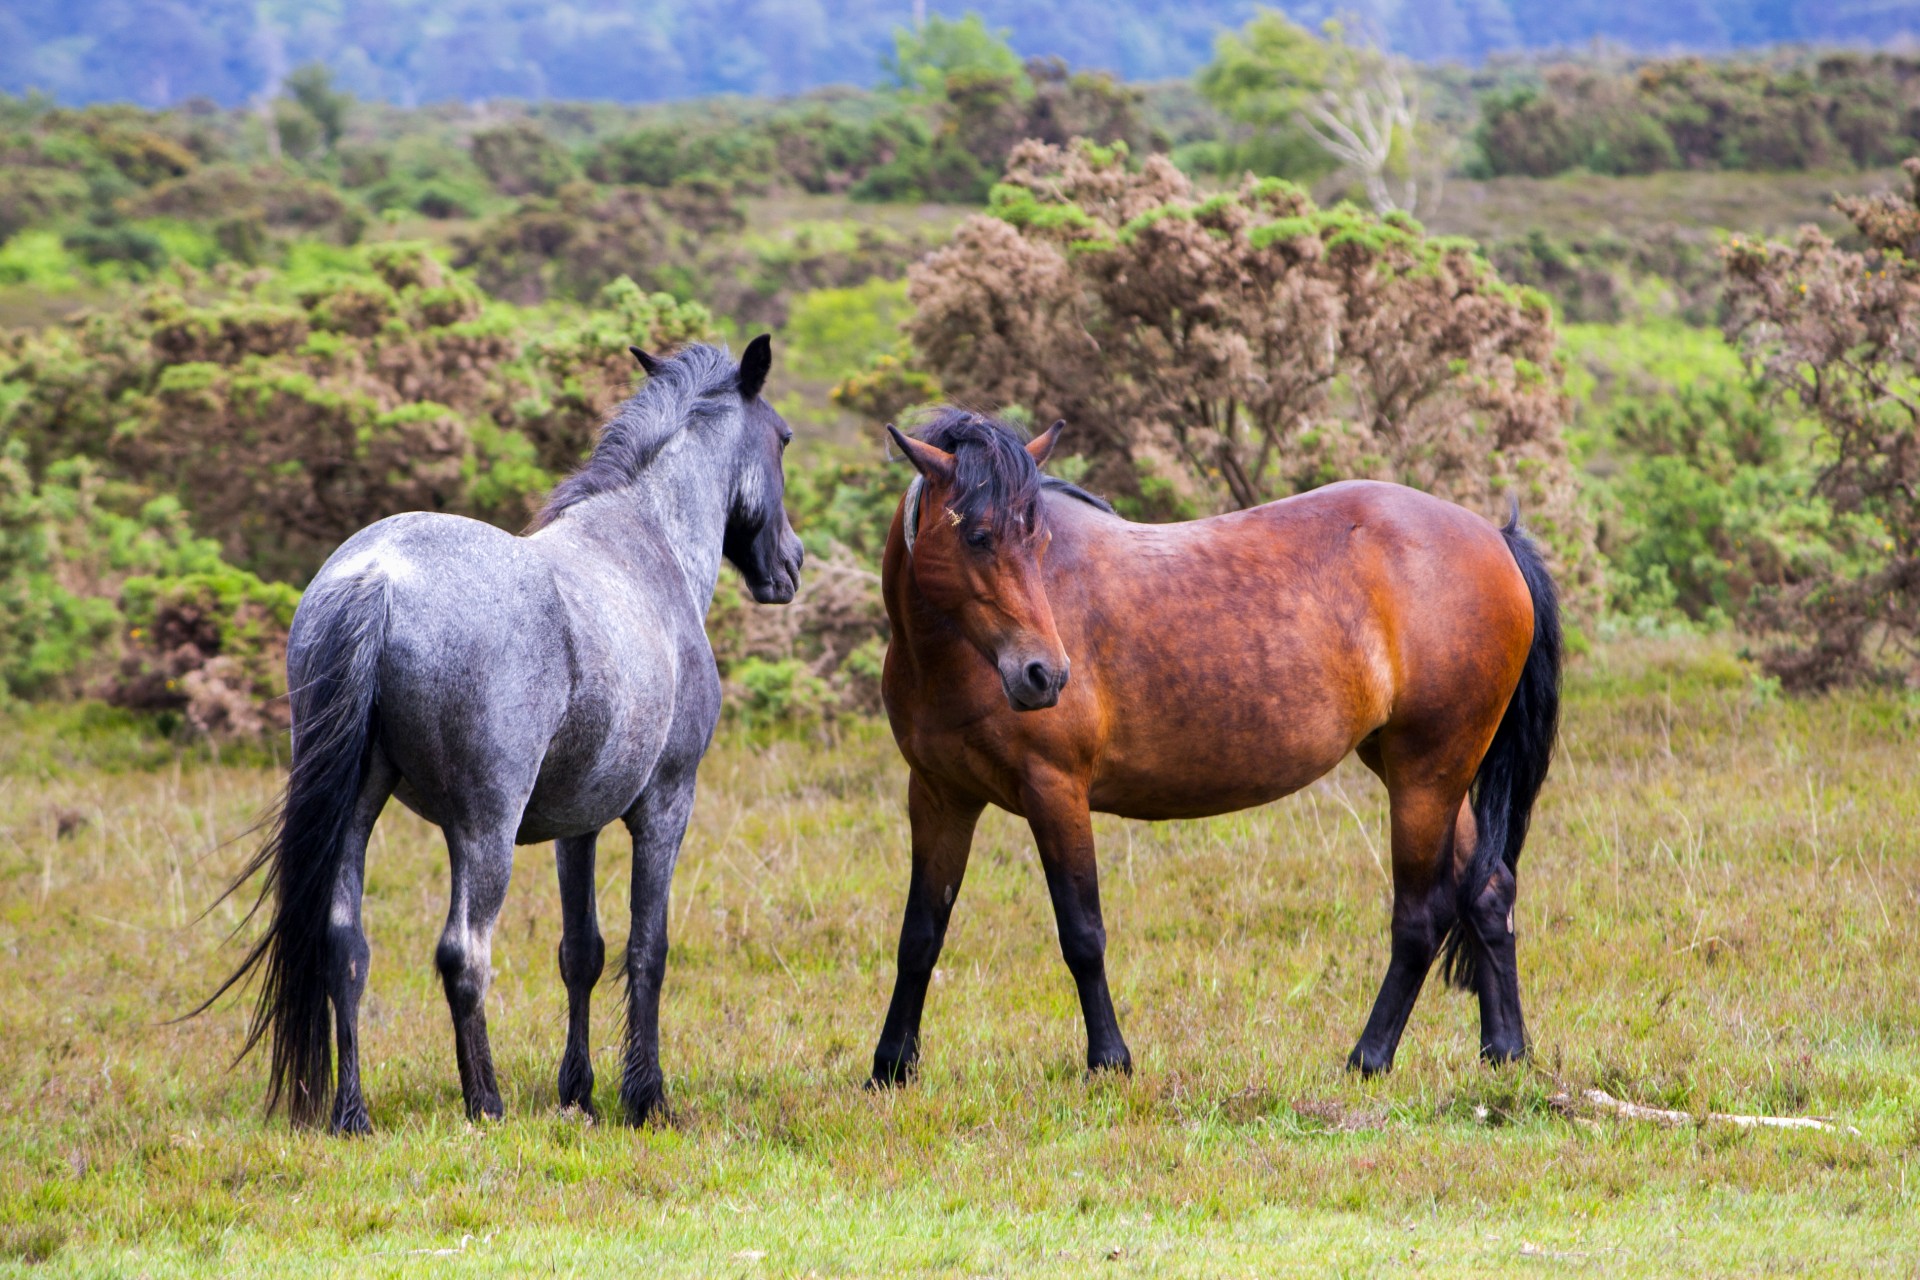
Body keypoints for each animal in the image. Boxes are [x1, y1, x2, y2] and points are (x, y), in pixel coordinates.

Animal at [206, 333, 806, 1128]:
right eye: (783, 437)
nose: (791, 565)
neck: (648, 546)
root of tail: (377, 578)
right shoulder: (665, 804)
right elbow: (647, 949)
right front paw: (646, 1099)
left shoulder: (578, 825)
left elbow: (582, 952)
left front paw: (579, 1091)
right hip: (483, 828)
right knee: (464, 953)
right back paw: (484, 1102)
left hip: (358, 809)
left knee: (345, 945)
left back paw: (352, 1114)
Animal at [875, 408, 1559, 1082]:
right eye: (977, 537)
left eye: (1038, 542)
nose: (1043, 674)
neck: (952, 660)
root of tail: (1496, 538)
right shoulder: (939, 796)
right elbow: (920, 935)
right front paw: (891, 1067)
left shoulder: (1055, 790)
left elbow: (1082, 933)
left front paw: (1109, 1062)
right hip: (1422, 769)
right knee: (1489, 892)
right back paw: (1504, 1050)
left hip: (1428, 773)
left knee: (1424, 916)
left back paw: (1368, 1058)